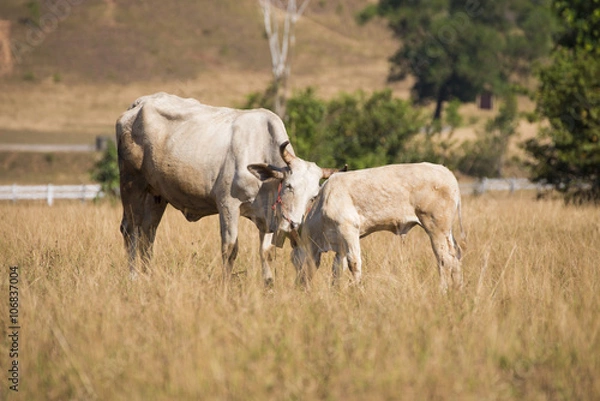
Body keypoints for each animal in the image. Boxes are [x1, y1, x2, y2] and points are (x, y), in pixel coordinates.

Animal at [116, 92, 342, 282]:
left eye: (314, 196)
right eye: (288, 186)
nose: (295, 225)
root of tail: (140, 104)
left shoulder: (267, 218)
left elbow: (266, 252)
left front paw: (269, 284)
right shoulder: (228, 205)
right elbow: (230, 249)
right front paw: (226, 284)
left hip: (156, 195)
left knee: (148, 233)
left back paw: (148, 275)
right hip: (132, 184)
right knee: (131, 230)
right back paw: (133, 277)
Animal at [290, 162, 464, 290]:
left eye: (295, 261)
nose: (298, 285)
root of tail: (446, 171)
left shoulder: (348, 230)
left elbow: (354, 263)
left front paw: (357, 288)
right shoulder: (339, 243)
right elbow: (337, 269)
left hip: (436, 229)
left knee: (444, 259)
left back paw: (443, 290)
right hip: (446, 232)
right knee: (455, 257)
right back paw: (457, 289)